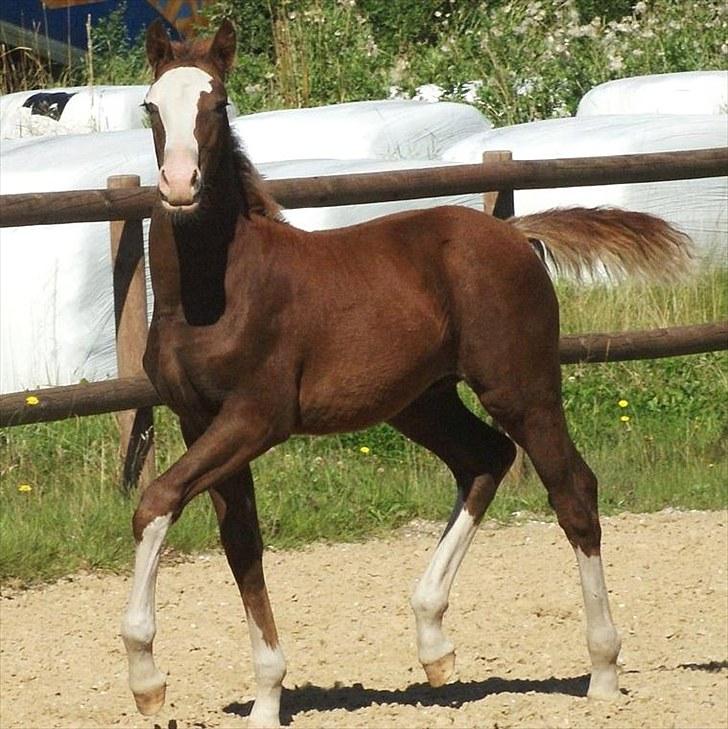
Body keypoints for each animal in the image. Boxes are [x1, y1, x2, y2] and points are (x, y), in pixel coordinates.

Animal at [122, 19, 696, 724]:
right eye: (152, 107)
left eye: (218, 104)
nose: (179, 184)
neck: (216, 291)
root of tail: (515, 235)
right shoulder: (198, 421)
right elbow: (241, 545)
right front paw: (266, 695)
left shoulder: (257, 417)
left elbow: (157, 500)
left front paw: (148, 678)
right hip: (421, 401)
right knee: (484, 458)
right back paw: (434, 642)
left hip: (520, 386)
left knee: (572, 490)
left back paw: (603, 669)